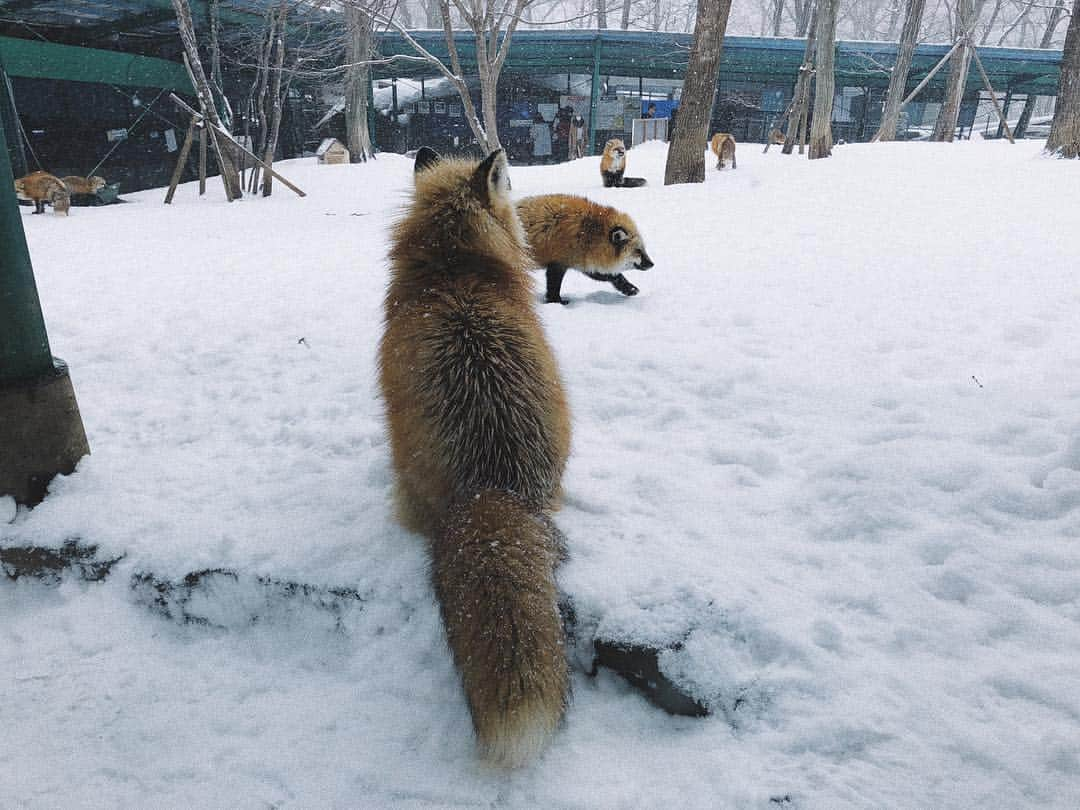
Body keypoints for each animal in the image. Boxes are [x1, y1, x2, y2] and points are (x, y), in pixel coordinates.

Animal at [516, 195, 652, 306]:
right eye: (638, 251)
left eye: (643, 248)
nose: (652, 264)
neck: (586, 232)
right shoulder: (558, 264)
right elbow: (553, 288)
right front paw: (557, 302)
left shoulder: (585, 261)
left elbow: (614, 276)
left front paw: (629, 288)